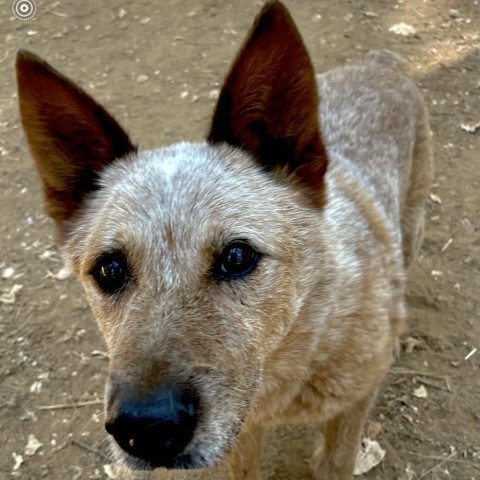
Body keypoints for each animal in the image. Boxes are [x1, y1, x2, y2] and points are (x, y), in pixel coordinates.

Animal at [17, 0, 432, 480]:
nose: (145, 430)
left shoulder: (350, 413)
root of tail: (378, 63)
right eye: (110, 269)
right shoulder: (241, 435)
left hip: (411, 227)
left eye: (237, 256)